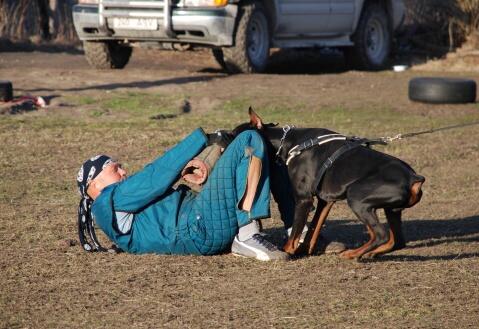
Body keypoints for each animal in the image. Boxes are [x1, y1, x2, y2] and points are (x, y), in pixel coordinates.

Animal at [234, 107, 426, 258]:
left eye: (234, 136)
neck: (287, 143)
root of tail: (413, 178)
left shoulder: (304, 199)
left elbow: (295, 233)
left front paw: (288, 251)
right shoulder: (325, 201)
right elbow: (313, 228)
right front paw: (305, 249)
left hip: (357, 198)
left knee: (380, 235)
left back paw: (353, 254)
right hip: (391, 209)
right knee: (397, 241)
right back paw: (369, 253)